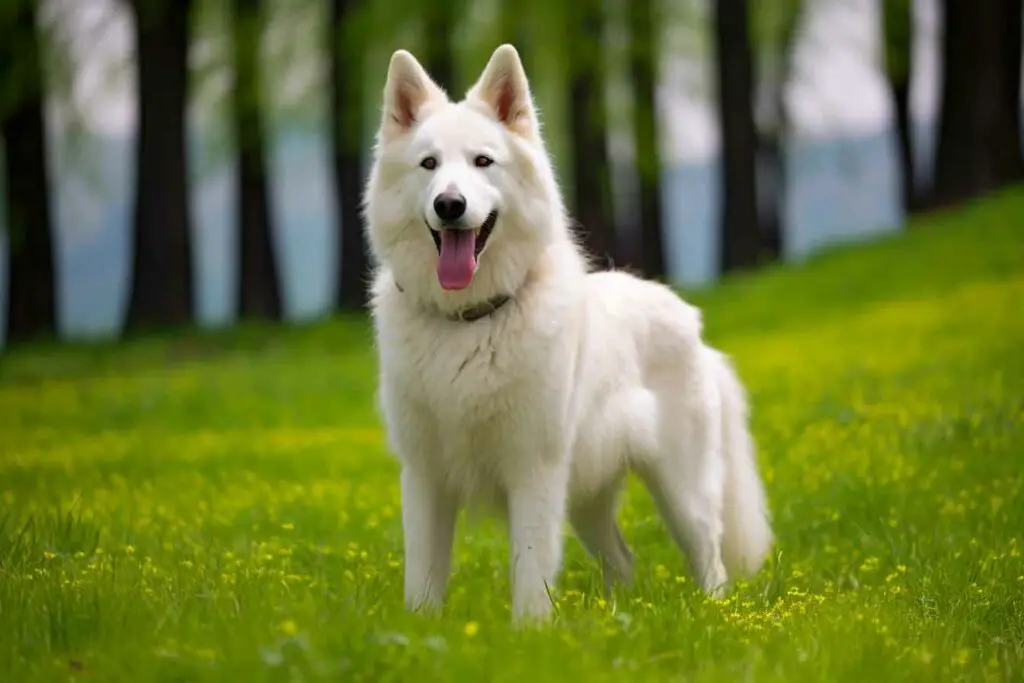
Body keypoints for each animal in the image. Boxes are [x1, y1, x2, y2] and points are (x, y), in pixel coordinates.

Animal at [364, 41, 770, 618]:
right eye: (429, 164)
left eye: (483, 161)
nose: (449, 205)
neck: (469, 322)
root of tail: (692, 325)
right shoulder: (424, 477)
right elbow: (422, 580)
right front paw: (421, 631)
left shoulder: (534, 470)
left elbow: (531, 573)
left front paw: (529, 632)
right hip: (584, 501)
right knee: (623, 560)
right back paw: (618, 617)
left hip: (680, 491)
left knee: (708, 555)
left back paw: (714, 614)